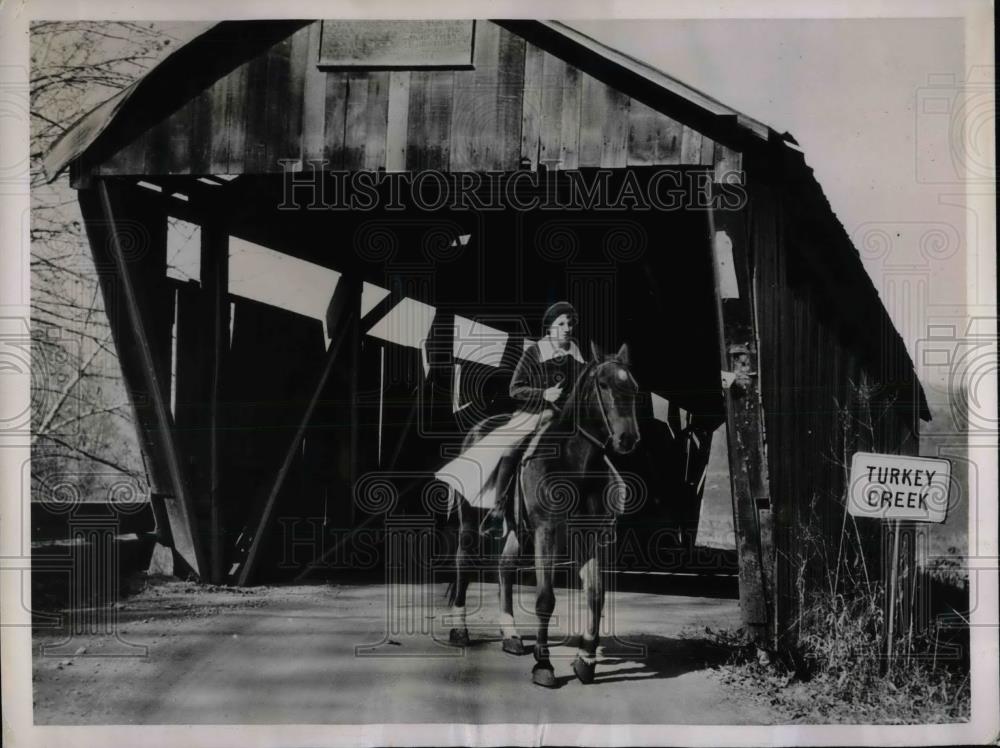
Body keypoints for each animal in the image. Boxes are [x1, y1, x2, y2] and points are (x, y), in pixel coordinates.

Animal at [446, 342, 640, 688]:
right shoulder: (546, 533)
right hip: (470, 521)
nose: (627, 439)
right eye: (603, 384)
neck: (576, 464)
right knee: (464, 565)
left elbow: (595, 595)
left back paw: (510, 635)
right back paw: (460, 631)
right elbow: (545, 599)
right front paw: (544, 665)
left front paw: (585, 662)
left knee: (505, 567)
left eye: (633, 387)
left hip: (517, 531)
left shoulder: (589, 536)